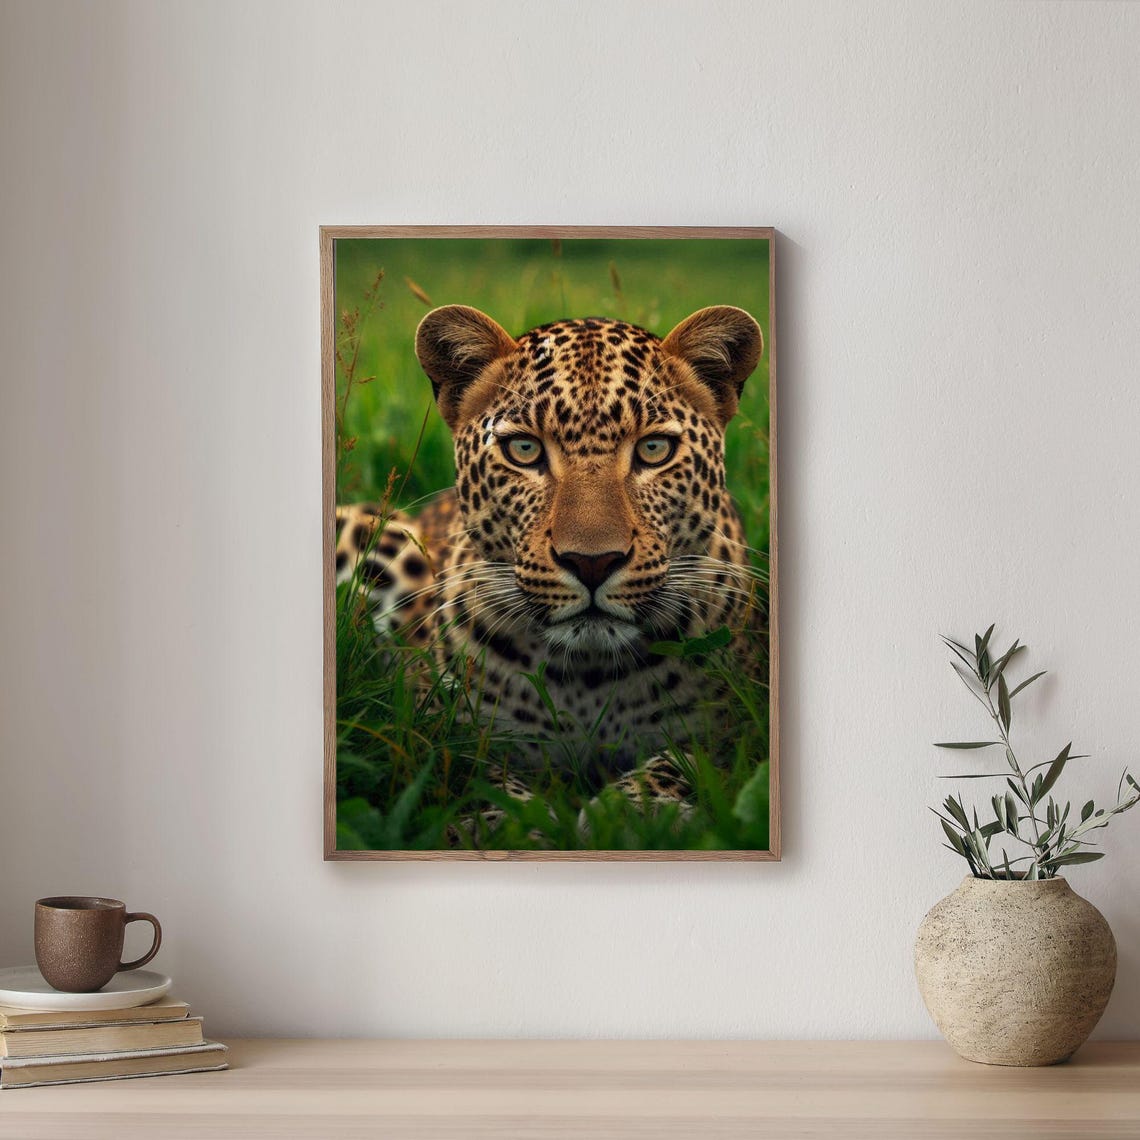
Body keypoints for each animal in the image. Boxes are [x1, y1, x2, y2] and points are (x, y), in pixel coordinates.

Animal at [336, 303, 767, 818]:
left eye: (654, 449)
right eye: (524, 450)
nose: (593, 562)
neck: (588, 677)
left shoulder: (735, 731)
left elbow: (680, 766)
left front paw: (628, 813)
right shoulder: (432, 732)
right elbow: (473, 777)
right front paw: (509, 818)